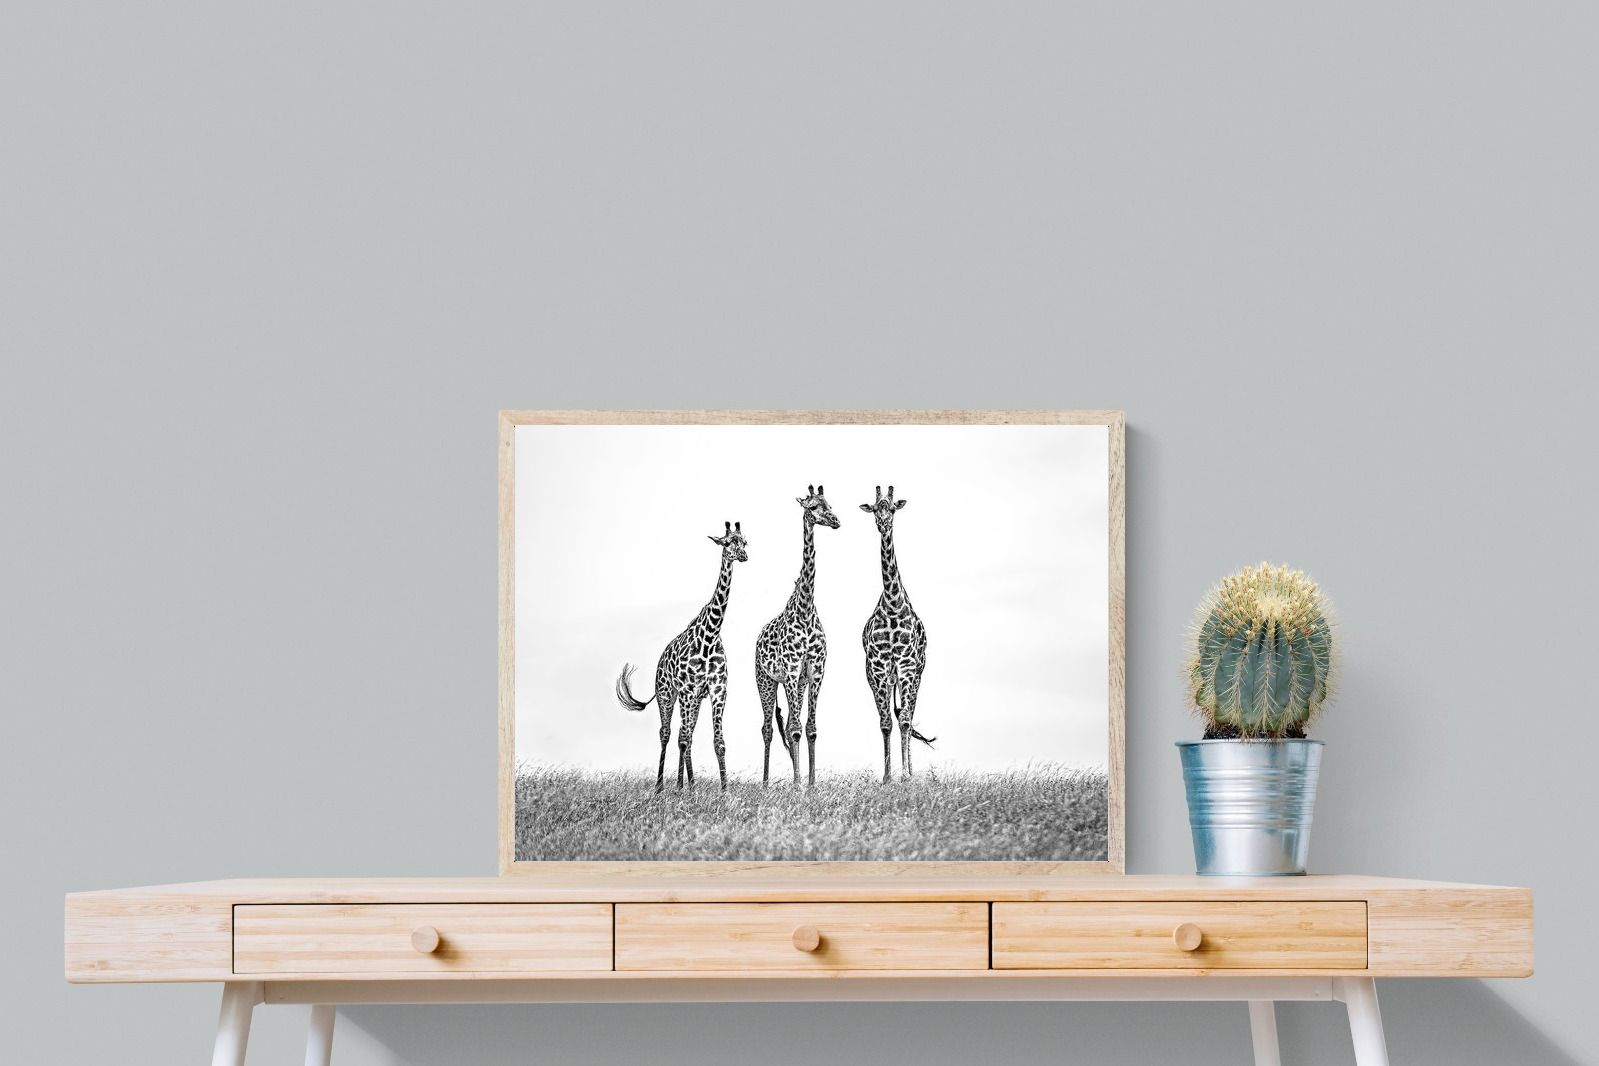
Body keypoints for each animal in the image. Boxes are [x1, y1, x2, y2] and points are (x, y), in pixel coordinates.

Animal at [615, 521, 748, 792]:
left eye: (745, 542)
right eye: (728, 542)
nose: (743, 556)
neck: (710, 634)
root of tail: (660, 660)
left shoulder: (717, 690)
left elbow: (719, 742)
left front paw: (724, 790)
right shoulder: (687, 690)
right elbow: (683, 738)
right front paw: (683, 788)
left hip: (694, 699)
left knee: (685, 734)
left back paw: (687, 784)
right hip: (667, 694)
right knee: (668, 733)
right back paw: (661, 786)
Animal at [755, 484, 840, 787]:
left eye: (830, 503)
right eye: (813, 507)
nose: (836, 521)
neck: (805, 610)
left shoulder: (815, 671)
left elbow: (810, 728)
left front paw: (811, 783)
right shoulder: (791, 670)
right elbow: (793, 728)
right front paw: (797, 784)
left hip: (796, 684)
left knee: (792, 722)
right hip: (766, 681)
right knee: (768, 728)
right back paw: (766, 782)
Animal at [860, 485, 935, 782]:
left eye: (891, 508)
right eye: (873, 508)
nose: (883, 524)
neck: (893, 605)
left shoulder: (907, 665)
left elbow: (904, 720)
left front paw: (906, 776)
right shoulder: (879, 668)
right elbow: (885, 723)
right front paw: (887, 776)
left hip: (916, 675)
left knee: (908, 715)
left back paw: (911, 770)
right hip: (882, 678)